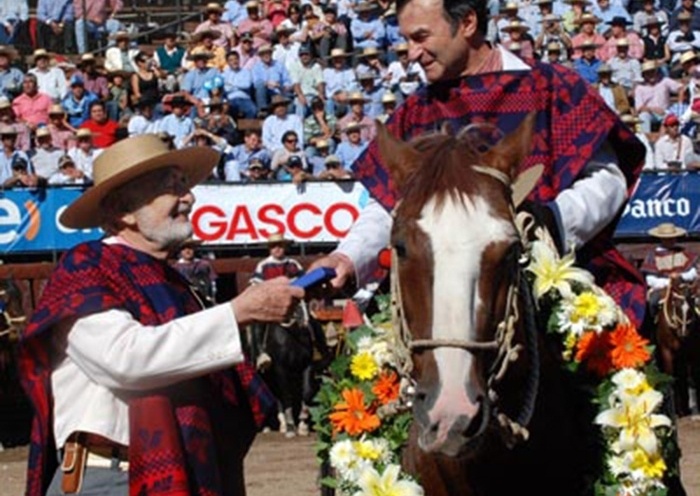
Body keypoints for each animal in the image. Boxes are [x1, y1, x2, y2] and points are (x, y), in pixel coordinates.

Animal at [656, 278, 700, 416]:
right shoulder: (666, 352)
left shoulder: (689, 354)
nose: (684, 332)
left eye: (692, 305)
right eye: (676, 304)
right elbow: (671, 378)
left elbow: (690, 378)